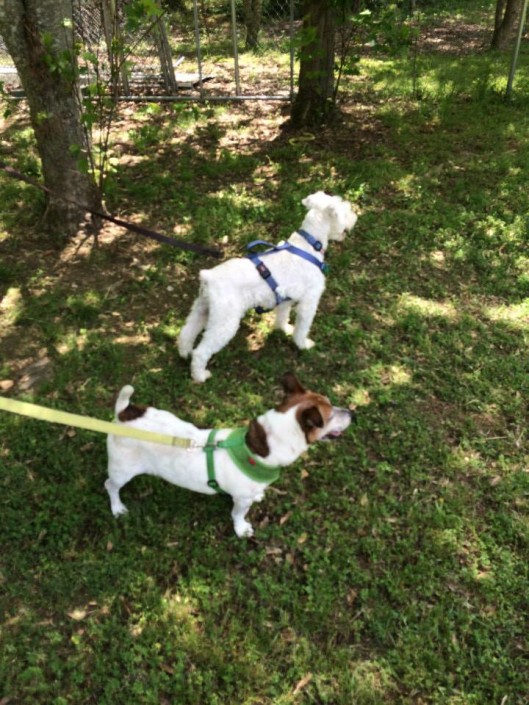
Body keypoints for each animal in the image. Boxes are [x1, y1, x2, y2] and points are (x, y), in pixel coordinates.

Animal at [105, 372, 352, 536]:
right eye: (330, 417)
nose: (352, 412)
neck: (259, 447)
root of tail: (123, 414)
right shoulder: (241, 500)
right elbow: (238, 514)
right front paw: (241, 529)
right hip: (123, 470)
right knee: (110, 485)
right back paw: (117, 508)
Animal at [178, 190, 358, 382]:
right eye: (345, 209)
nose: (355, 216)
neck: (308, 245)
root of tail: (209, 277)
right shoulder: (309, 301)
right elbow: (303, 327)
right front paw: (302, 344)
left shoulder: (286, 299)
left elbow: (283, 316)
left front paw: (283, 329)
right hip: (225, 322)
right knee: (201, 352)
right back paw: (200, 376)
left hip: (201, 309)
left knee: (186, 333)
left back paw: (184, 353)